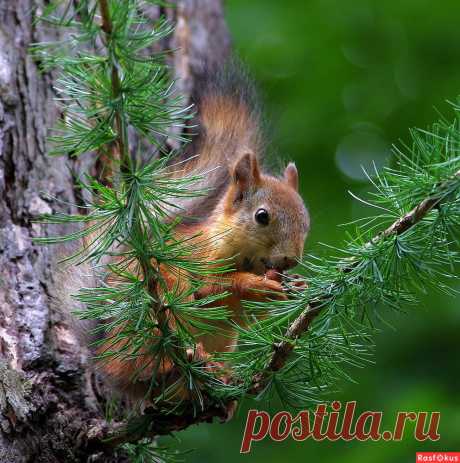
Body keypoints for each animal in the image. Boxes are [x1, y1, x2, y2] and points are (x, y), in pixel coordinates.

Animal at [55, 63, 310, 404]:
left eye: (306, 223)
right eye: (262, 216)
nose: (290, 260)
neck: (244, 254)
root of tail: (102, 355)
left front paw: (296, 285)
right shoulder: (199, 258)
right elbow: (212, 289)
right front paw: (254, 284)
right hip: (154, 319)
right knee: (140, 365)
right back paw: (180, 363)